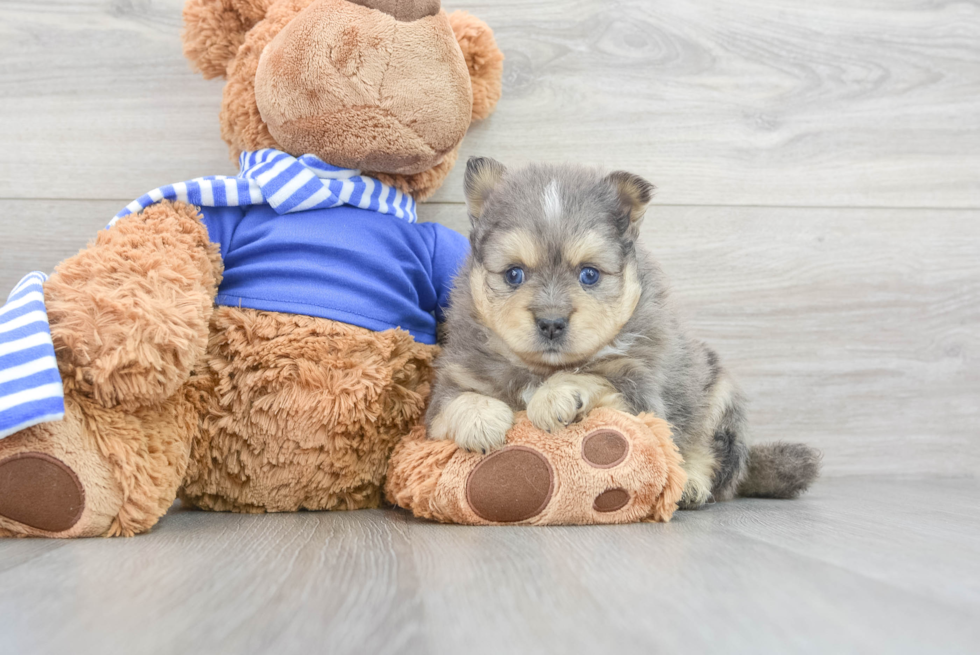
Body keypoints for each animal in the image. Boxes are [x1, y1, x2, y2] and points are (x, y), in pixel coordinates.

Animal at [428, 158, 820, 508]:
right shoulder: (442, 398)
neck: (541, 369)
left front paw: (556, 395)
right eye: (513, 274)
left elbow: (593, 375)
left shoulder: (640, 395)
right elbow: (457, 402)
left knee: (711, 460)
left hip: (718, 397)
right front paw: (480, 419)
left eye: (589, 274)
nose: (551, 322)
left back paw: (691, 484)